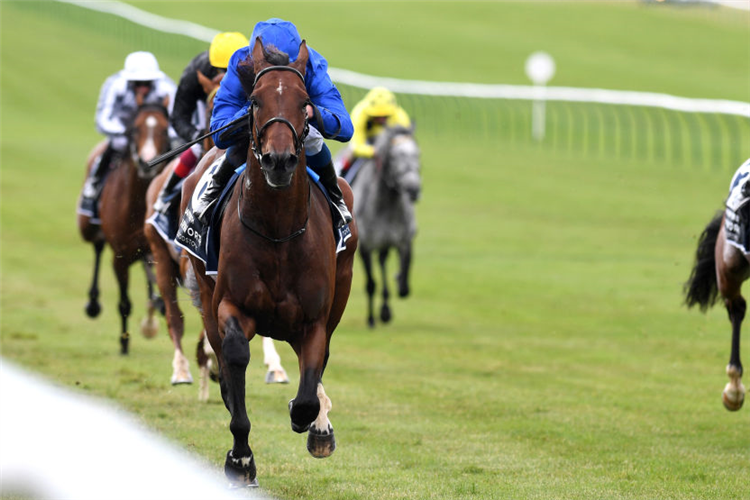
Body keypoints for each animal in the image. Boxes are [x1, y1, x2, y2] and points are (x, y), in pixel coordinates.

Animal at [79, 97, 173, 354]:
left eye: (164, 129)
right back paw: (93, 303)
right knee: (98, 246)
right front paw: (124, 342)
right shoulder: (119, 256)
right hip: (87, 227)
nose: (146, 160)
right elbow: (124, 303)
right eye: (135, 129)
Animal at [181, 39, 358, 484]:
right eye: (255, 101)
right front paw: (241, 460)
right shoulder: (230, 306)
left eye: (305, 102)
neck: (278, 233)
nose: (279, 160)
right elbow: (234, 360)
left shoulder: (314, 319)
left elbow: (310, 383)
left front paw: (312, 422)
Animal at [348, 125, 424, 328]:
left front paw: (397, 279)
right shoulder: (365, 247)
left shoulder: (404, 242)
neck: (385, 206)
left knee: (382, 262)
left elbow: (404, 286)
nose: (413, 189)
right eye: (395, 156)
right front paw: (371, 319)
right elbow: (371, 284)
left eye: (417, 154)